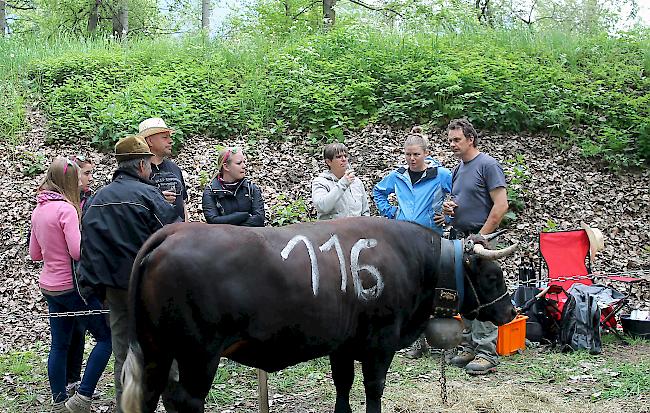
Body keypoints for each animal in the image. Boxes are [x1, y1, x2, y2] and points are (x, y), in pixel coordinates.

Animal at [120, 217, 516, 410]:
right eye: (493, 276)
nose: (511, 311)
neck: (415, 261)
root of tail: (172, 233)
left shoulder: (341, 345)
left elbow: (343, 387)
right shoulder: (380, 344)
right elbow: (374, 390)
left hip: (157, 351)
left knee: (151, 396)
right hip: (198, 355)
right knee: (185, 402)